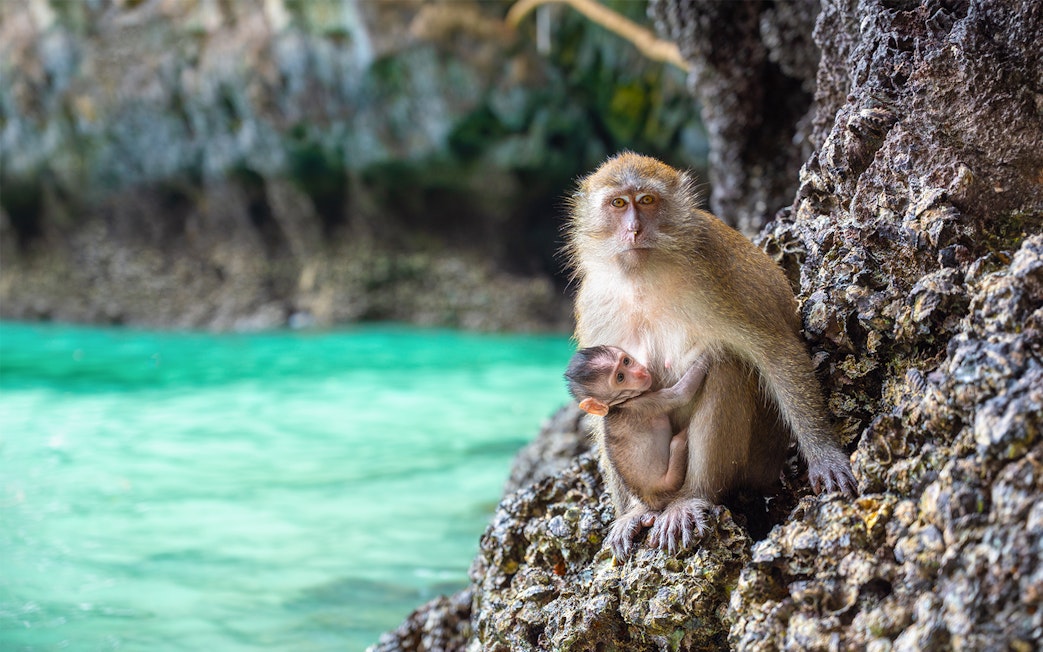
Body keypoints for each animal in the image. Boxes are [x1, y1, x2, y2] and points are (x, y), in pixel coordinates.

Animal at [564, 345, 709, 558]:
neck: (618, 405)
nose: (640, 372)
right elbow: (682, 393)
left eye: (626, 361)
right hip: (669, 481)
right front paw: (706, 358)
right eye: (620, 378)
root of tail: (652, 500)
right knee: (677, 443)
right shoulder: (646, 403)